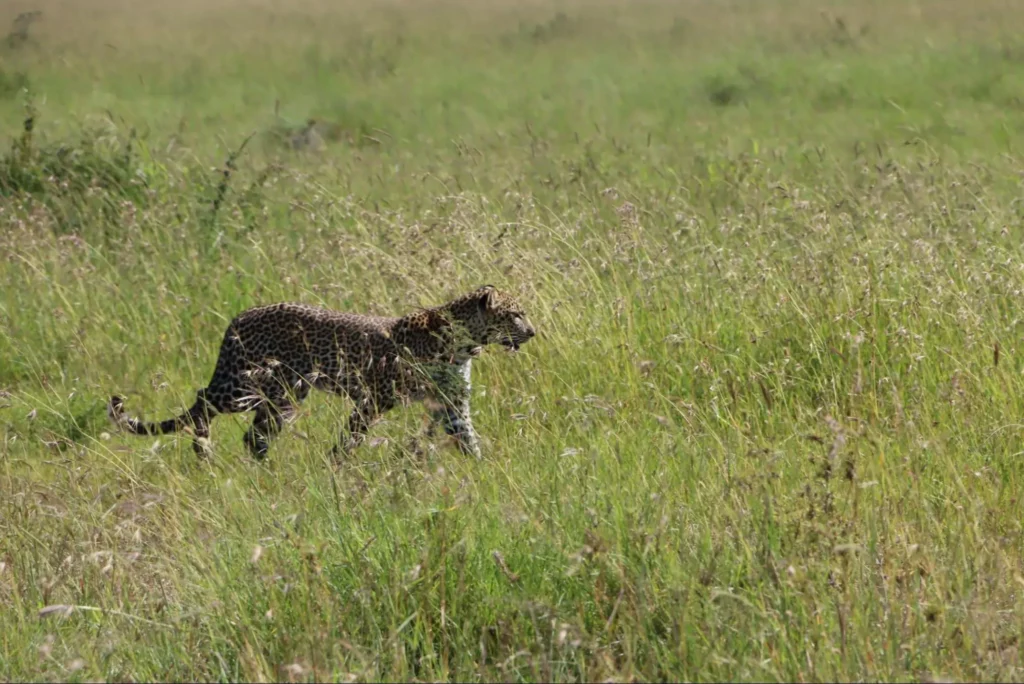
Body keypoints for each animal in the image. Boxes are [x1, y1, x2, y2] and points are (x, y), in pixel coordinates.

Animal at [107, 282, 536, 458]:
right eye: (515, 314)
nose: (532, 331)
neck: (464, 342)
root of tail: (239, 316)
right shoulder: (375, 397)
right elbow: (352, 437)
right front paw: (338, 464)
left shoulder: (451, 404)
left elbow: (469, 438)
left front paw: (483, 472)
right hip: (242, 387)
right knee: (201, 402)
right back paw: (203, 450)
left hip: (284, 395)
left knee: (254, 436)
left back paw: (263, 469)